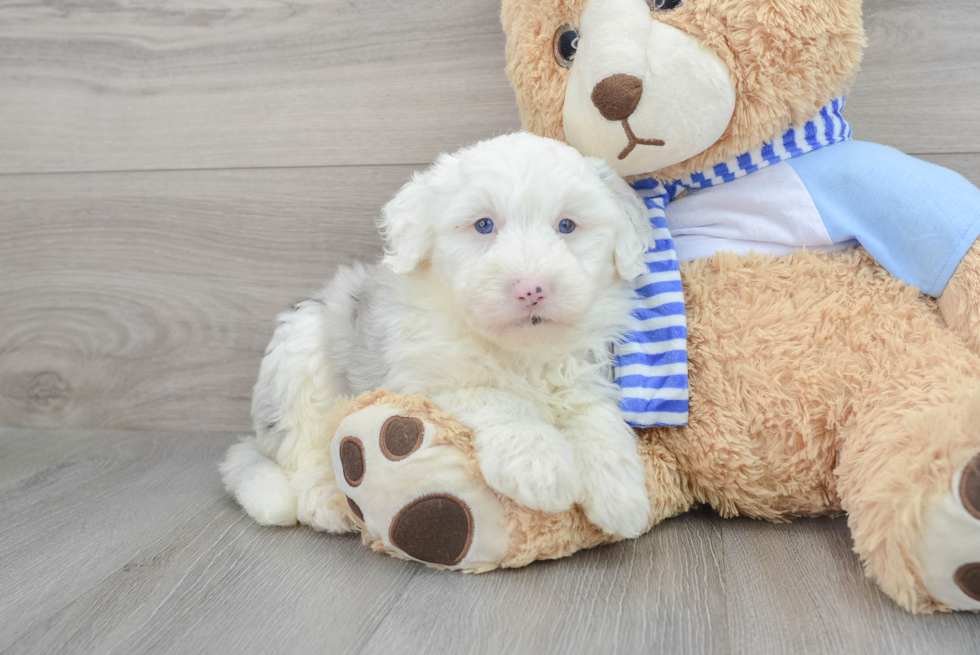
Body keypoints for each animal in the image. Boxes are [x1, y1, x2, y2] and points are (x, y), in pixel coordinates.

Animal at [218, 132, 656, 540]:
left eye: (567, 225)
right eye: (483, 225)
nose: (531, 288)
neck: (516, 350)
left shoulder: (586, 371)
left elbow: (595, 418)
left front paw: (621, 497)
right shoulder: (421, 382)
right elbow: (496, 399)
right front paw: (540, 465)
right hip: (301, 353)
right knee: (302, 454)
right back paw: (327, 498)